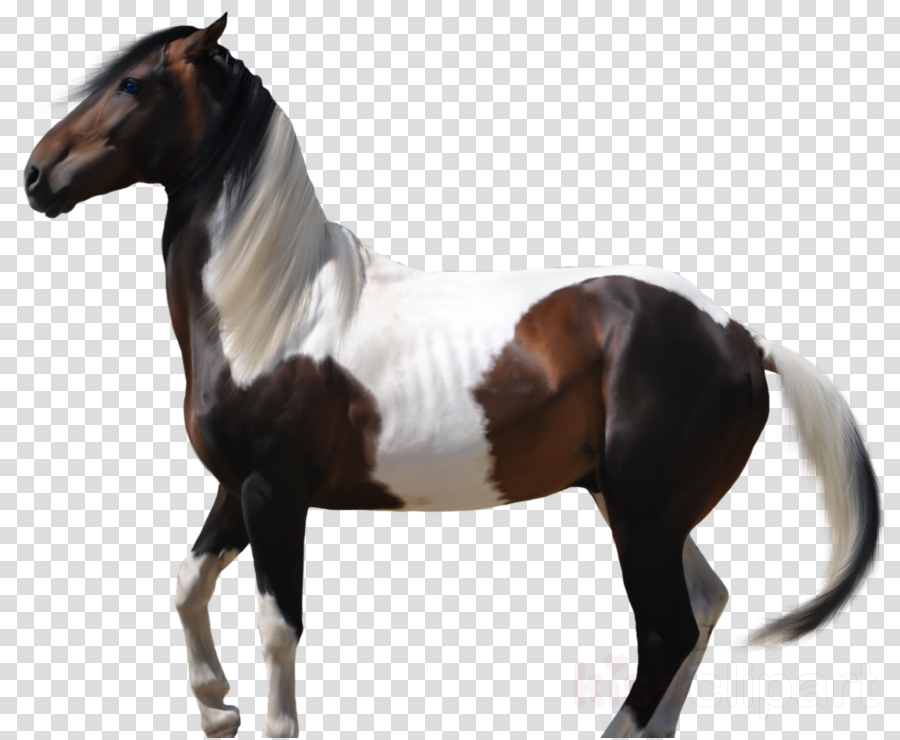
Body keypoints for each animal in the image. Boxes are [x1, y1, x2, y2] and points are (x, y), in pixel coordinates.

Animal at [23, 16, 879, 738]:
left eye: (135, 86)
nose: (36, 174)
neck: (277, 310)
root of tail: (741, 338)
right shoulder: (238, 490)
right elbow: (187, 587)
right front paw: (213, 709)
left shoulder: (274, 492)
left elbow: (275, 627)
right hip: (641, 505)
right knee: (702, 608)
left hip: (644, 509)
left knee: (667, 627)